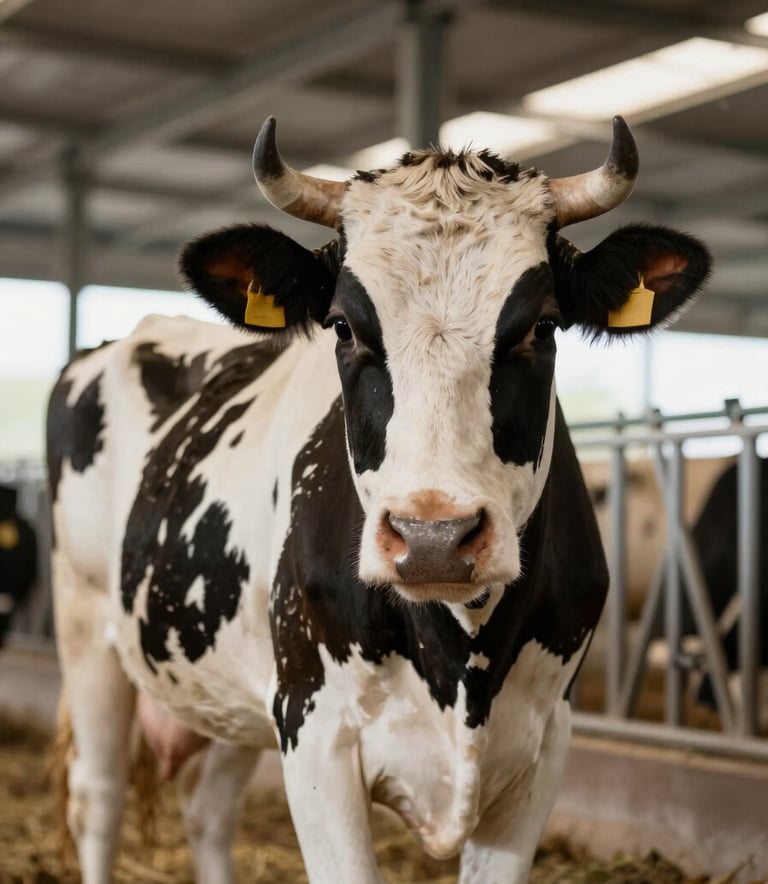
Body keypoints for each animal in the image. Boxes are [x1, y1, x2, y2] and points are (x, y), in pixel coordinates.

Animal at [47, 115, 710, 884]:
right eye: (342, 326)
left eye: (542, 325)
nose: (434, 538)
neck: (461, 666)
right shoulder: (314, 729)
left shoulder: (546, 742)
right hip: (86, 625)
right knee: (98, 798)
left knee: (208, 811)